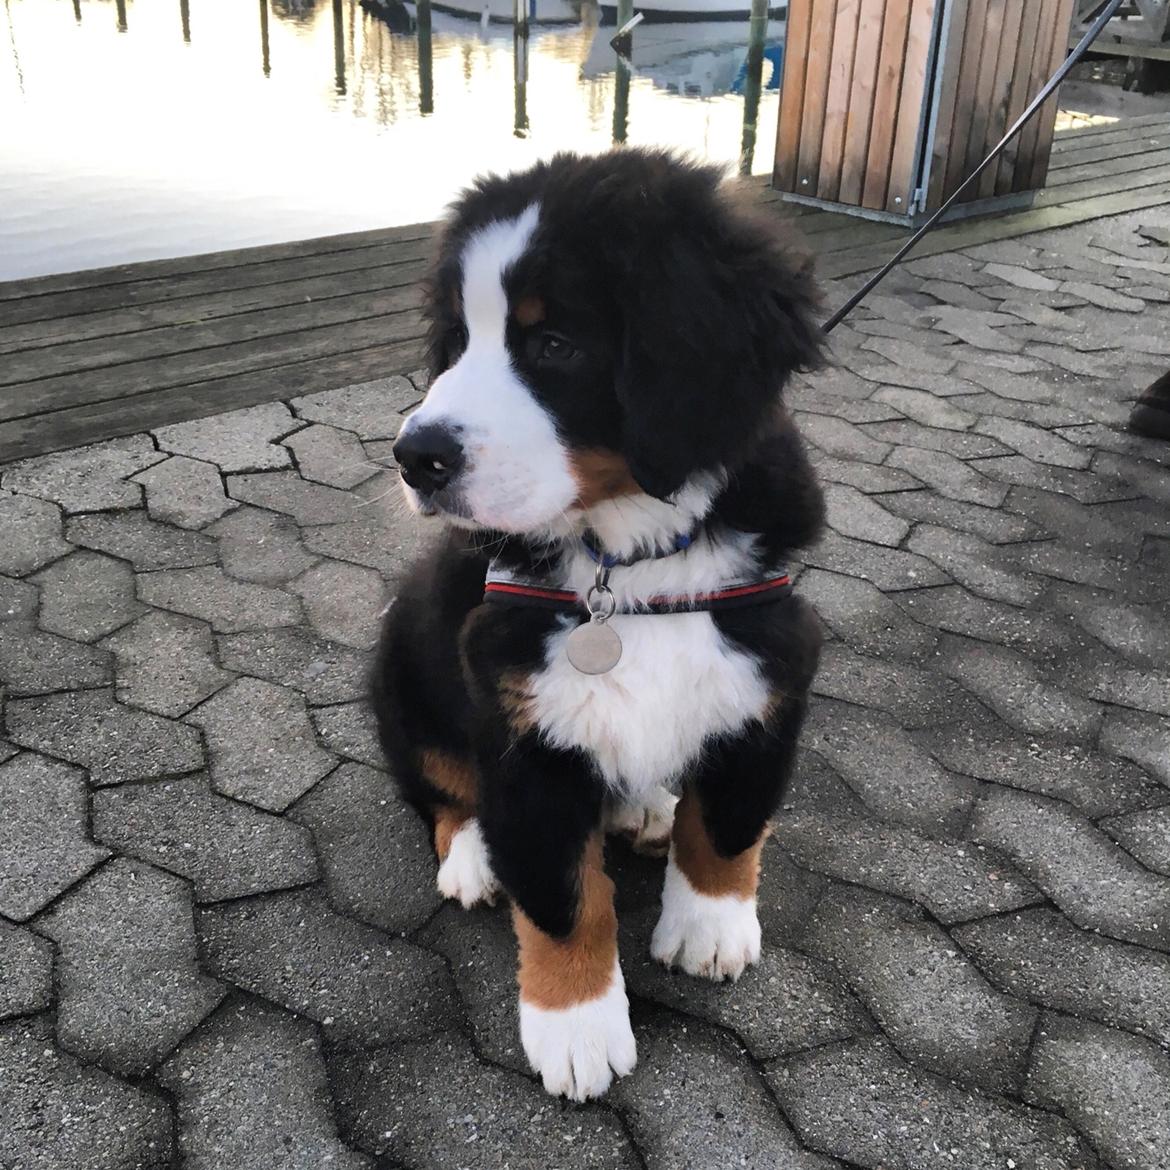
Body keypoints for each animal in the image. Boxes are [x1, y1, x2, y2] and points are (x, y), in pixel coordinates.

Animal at [372, 150, 823, 1099]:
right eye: (457, 343)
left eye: (553, 345)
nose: (415, 458)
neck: (631, 562)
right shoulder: (518, 720)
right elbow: (564, 896)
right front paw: (576, 1027)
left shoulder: (769, 673)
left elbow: (727, 827)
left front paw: (710, 928)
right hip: (404, 666)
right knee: (439, 786)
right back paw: (472, 858)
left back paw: (645, 808)